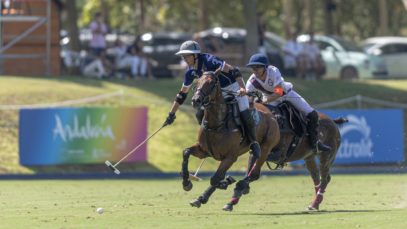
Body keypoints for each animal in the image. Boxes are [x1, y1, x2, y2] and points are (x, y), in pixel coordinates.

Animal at [182, 71, 280, 208]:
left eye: (211, 83)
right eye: (197, 82)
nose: (196, 100)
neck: (216, 123)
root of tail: (271, 114)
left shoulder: (230, 157)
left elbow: (215, 178)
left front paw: (226, 182)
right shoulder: (204, 151)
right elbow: (186, 152)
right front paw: (186, 183)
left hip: (266, 148)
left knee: (254, 173)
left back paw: (237, 188)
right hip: (252, 153)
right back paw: (204, 198)